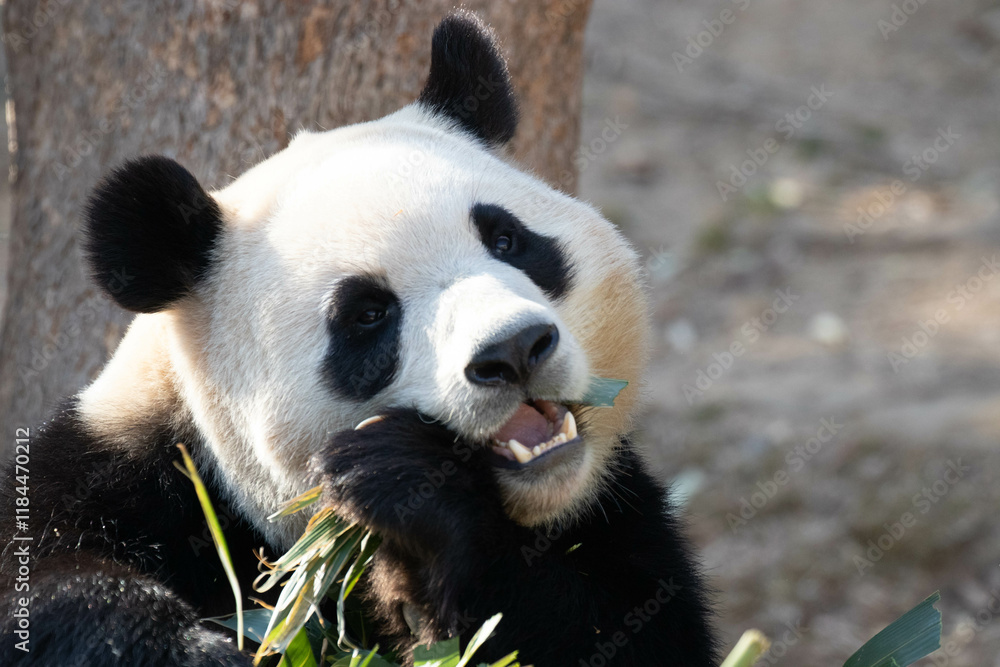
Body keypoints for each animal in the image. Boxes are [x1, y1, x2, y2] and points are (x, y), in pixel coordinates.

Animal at [0, 12, 717, 667]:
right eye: (369, 315)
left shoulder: (617, 513)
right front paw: (198, 646)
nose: (514, 349)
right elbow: (56, 589)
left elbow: (621, 632)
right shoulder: (119, 480)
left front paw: (409, 489)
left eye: (509, 240)